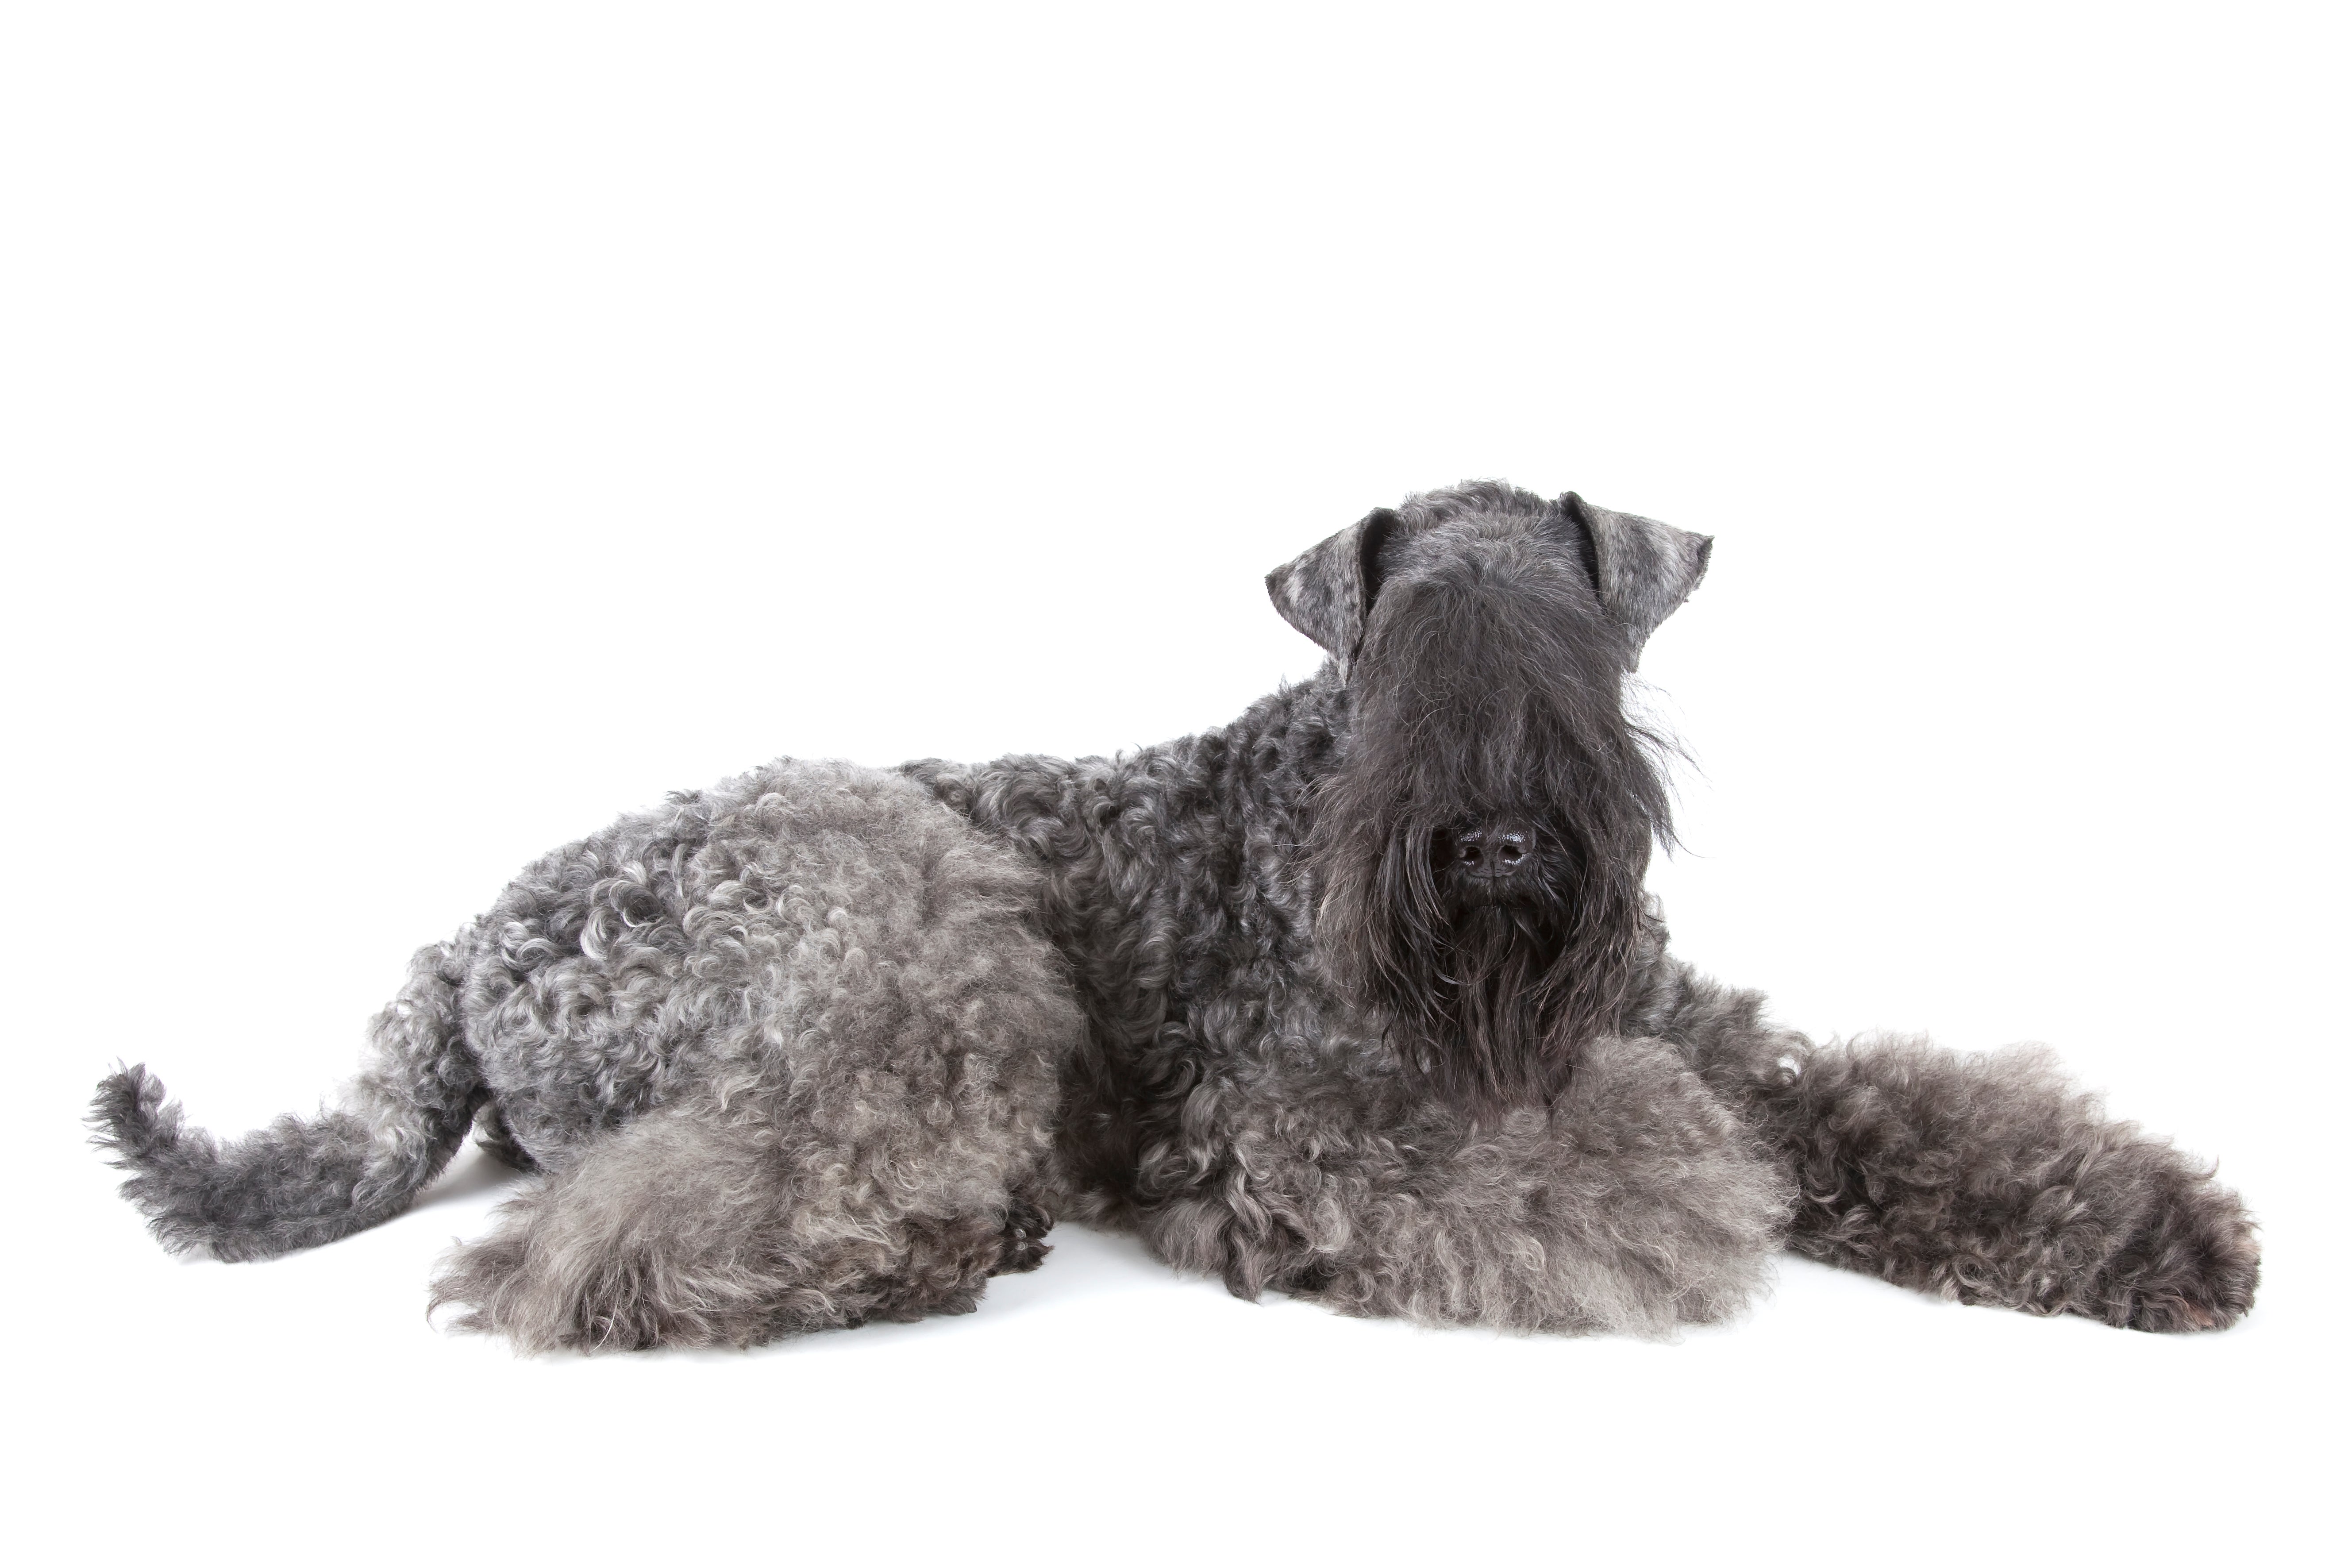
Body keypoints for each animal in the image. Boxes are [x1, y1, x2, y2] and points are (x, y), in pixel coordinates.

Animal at [92, 482, 2258, 1354]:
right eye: (1398, 641)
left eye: (1577, 640)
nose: (1493, 844)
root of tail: (465, 952)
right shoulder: (1295, 1125)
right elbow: (1630, 1162)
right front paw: (1688, 1190)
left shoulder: (1709, 1030)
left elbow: (1904, 1111)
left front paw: (2153, 1231)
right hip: (909, 911)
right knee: (627, 1230)